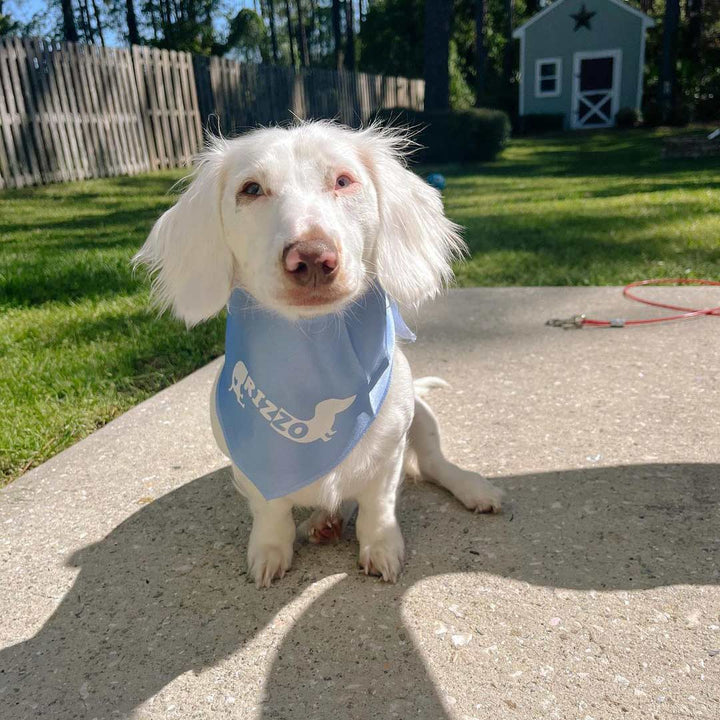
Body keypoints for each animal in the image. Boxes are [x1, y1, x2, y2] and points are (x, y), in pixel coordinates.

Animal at [138, 121, 504, 588]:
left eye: (344, 181)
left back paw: (472, 488)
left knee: (435, 465)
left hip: (421, 418)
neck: (313, 351)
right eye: (251, 188)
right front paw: (270, 550)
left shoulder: (388, 454)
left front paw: (381, 546)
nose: (312, 258)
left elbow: (377, 507)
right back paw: (322, 521)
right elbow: (271, 512)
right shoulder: (250, 471)